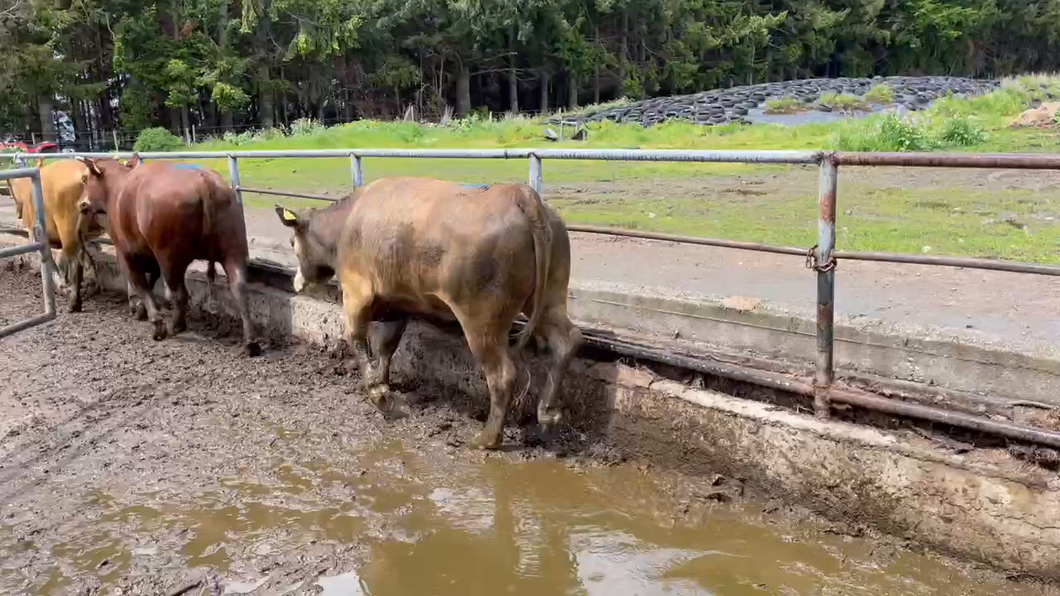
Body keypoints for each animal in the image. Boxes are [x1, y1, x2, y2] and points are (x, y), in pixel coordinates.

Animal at [6, 156, 107, 311]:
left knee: (75, 260)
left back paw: (74, 301)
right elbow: (84, 259)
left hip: (67, 229)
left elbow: (52, 263)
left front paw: (63, 287)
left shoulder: (36, 236)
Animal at [77, 155, 260, 354]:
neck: (116, 190)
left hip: (169, 257)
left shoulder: (127, 253)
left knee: (179, 293)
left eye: (85, 179)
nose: (82, 204)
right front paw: (141, 310)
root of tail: (203, 181)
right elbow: (150, 281)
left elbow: (140, 285)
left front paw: (153, 321)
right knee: (239, 288)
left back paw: (176, 326)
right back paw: (250, 341)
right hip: (233, 249)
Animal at [275, 176, 580, 445]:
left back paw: (487, 439)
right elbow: (386, 346)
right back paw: (548, 415)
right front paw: (384, 384)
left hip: (481, 318)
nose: (296, 281)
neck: (344, 225)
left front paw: (380, 395)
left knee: (502, 374)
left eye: (292, 243)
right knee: (567, 340)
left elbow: (356, 339)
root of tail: (519, 194)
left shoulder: (356, 291)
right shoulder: (396, 302)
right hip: (549, 297)